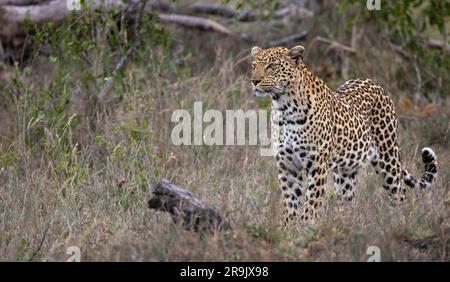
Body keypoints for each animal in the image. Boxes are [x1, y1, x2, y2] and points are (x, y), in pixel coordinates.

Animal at [248, 45, 438, 226]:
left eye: (272, 66)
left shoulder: (316, 164)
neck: (284, 108)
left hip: (387, 157)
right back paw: (345, 223)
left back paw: (399, 222)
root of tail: (374, 83)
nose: (254, 81)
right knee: (347, 200)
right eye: (254, 66)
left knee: (399, 192)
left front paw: (306, 227)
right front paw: (289, 229)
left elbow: (312, 202)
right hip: (346, 169)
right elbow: (291, 202)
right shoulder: (287, 165)